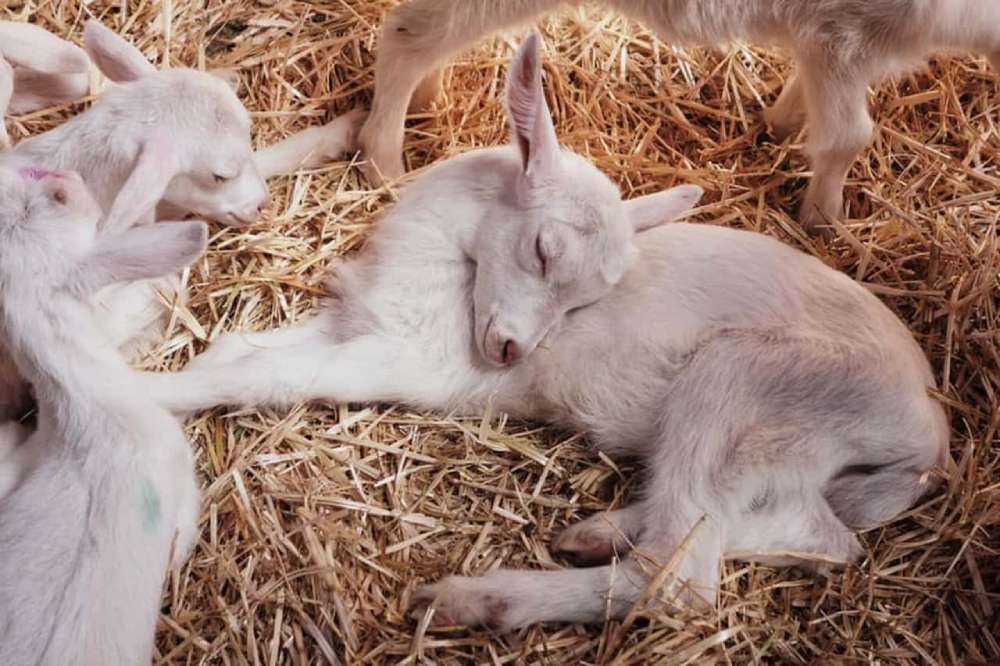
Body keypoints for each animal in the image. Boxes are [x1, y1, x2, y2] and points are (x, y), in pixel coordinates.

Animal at [358, 0, 1000, 231]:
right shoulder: (843, 34)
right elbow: (847, 137)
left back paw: (428, 101)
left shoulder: (827, 41)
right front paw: (822, 220)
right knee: (406, 36)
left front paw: (777, 126)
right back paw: (383, 162)